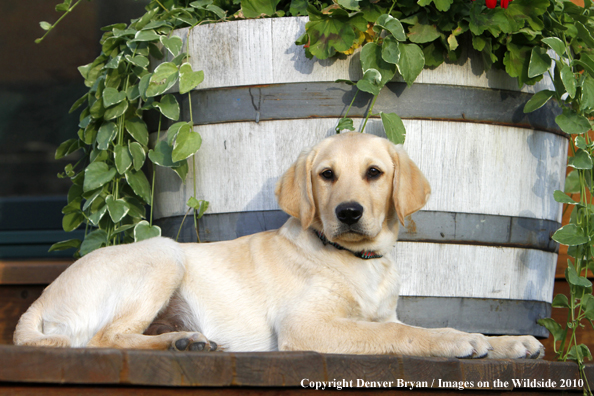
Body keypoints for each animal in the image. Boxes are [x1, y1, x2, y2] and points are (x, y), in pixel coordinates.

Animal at [12, 133, 540, 358]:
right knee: (104, 337)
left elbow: (398, 326)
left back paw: (184, 338)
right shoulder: (305, 325)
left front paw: (509, 343)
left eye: (374, 173)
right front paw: (457, 340)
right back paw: (181, 341)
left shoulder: (381, 314)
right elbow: (403, 335)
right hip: (163, 253)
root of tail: (39, 301)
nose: (349, 212)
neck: (358, 260)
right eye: (326, 175)